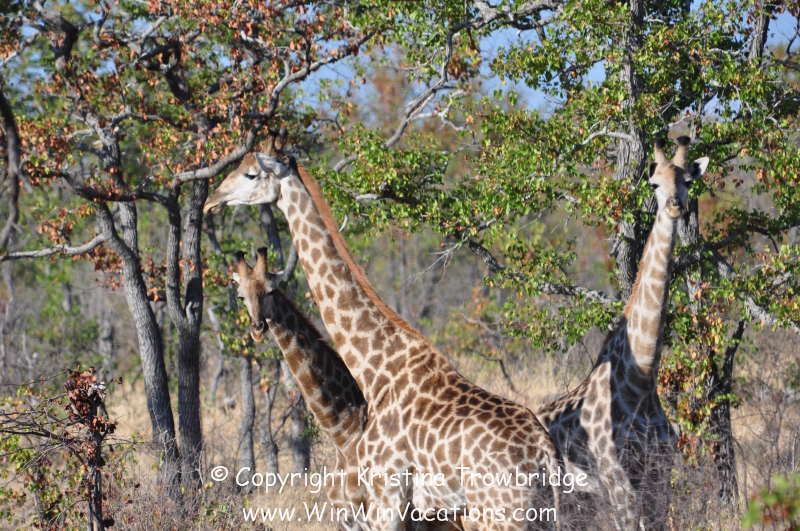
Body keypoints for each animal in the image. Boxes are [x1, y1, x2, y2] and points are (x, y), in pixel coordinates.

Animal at [205, 136, 561, 531]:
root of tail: (545, 456)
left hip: (496, 516)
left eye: (251, 174)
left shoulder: (386, 498)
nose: (210, 200)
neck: (374, 370)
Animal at [536, 136, 710, 530]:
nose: (675, 207)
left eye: (686, 181)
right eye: (654, 184)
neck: (641, 379)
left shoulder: (659, 477)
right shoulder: (618, 482)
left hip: (579, 501)